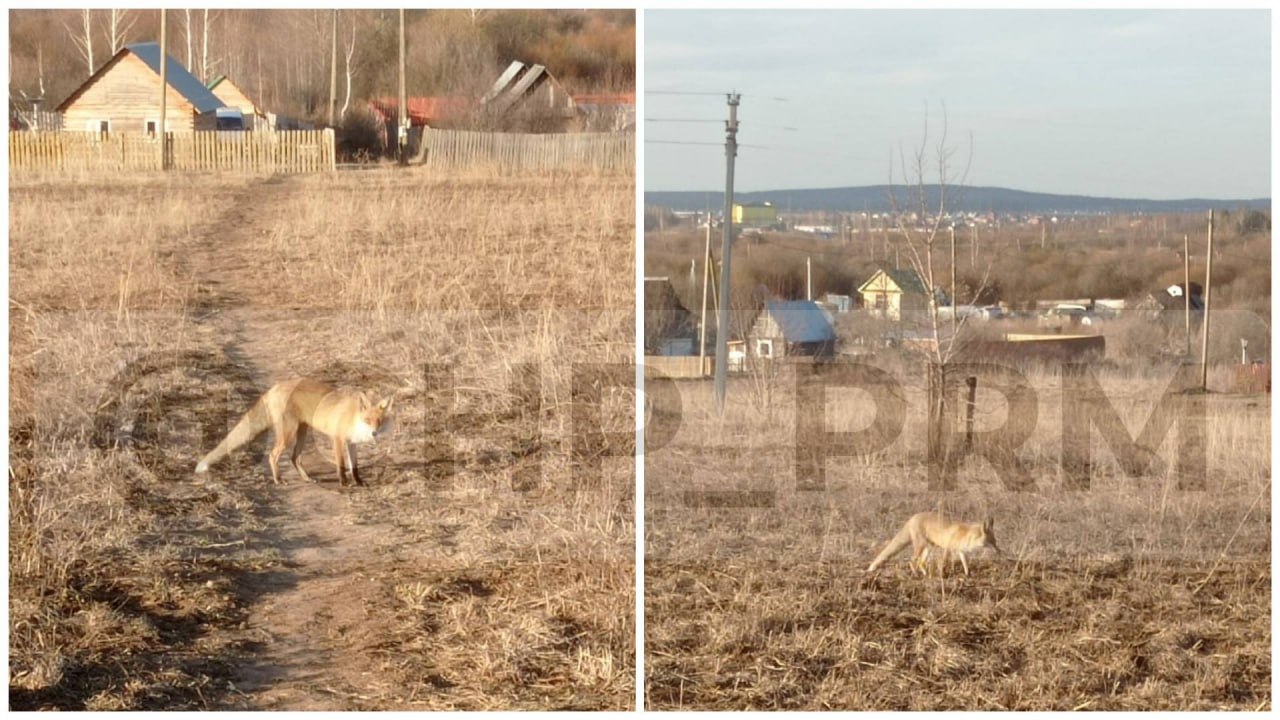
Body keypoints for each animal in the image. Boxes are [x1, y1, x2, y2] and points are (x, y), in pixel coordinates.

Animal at [192, 376, 391, 486]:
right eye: (367, 420)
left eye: (379, 421)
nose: (374, 433)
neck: (353, 417)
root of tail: (273, 388)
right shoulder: (337, 439)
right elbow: (342, 465)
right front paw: (344, 483)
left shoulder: (351, 444)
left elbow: (354, 467)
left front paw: (359, 482)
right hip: (288, 434)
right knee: (273, 455)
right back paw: (278, 480)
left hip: (302, 432)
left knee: (295, 458)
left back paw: (306, 478)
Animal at [865, 507, 1003, 573]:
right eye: (991, 542)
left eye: (995, 542)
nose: (1000, 551)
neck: (966, 537)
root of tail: (912, 517)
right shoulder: (948, 548)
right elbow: (944, 562)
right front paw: (943, 574)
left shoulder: (961, 552)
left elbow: (965, 564)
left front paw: (967, 575)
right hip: (921, 546)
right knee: (912, 561)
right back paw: (915, 574)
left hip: (929, 547)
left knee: (921, 563)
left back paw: (926, 575)